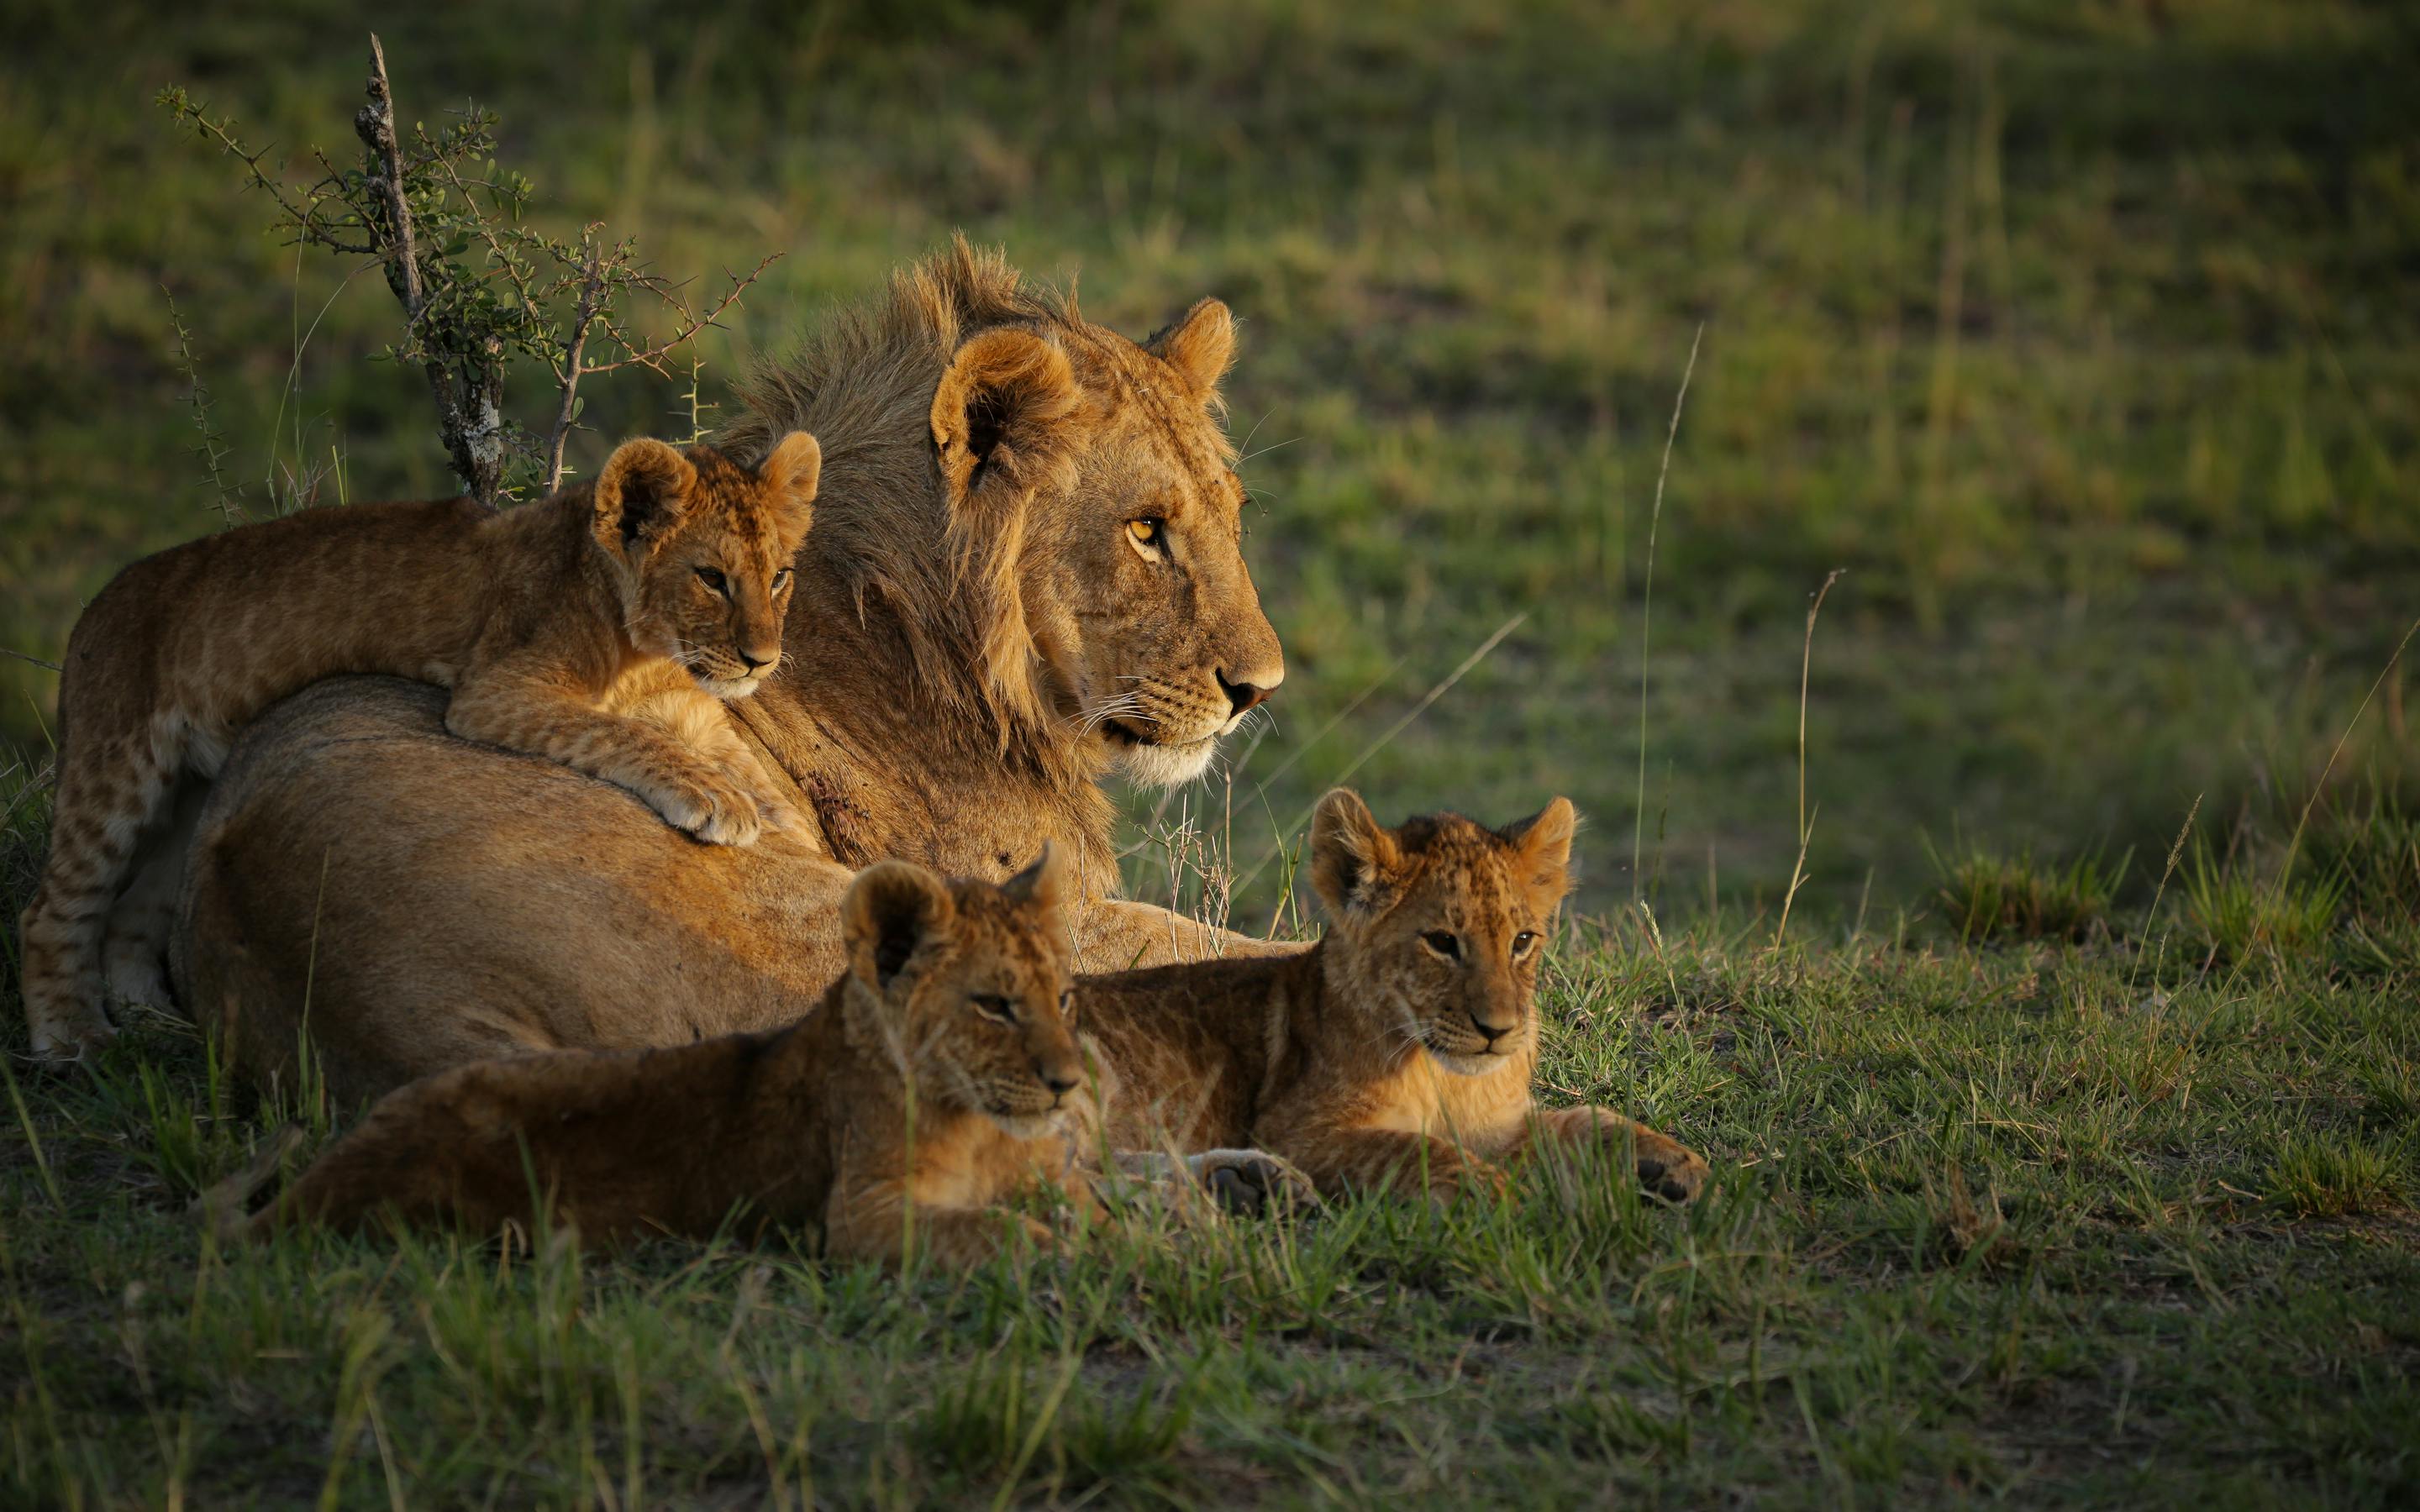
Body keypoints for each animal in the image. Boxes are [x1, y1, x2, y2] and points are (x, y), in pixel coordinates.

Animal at [20, 434, 820, 1059]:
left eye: (779, 576)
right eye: (712, 579)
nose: (763, 661)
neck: (648, 651)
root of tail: (96, 604)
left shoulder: (694, 709)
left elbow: (753, 771)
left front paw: (794, 834)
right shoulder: (496, 692)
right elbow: (620, 732)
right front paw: (718, 801)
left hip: (186, 802)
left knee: (132, 916)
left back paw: (159, 1025)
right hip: (114, 771)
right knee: (52, 911)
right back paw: (73, 1039)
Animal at [221, 850, 1102, 1265]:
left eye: (1064, 999)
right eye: (994, 1005)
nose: (1069, 1086)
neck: (983, 1128)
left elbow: (1111, 1209)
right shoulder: (857, 1219)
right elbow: (1002, 1232)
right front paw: (1066, 1257)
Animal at [1070, 789, 1711, 1205]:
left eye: (1523, 941)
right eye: (1442, 942)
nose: (1499, 1031)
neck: (1443, 1074)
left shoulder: (1498, 1126)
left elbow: (1585, 1118)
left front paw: (1673, 1162)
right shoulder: (1297, 1130)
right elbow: (1419, 1151)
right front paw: (1498, 1196)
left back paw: (1246, 1185)